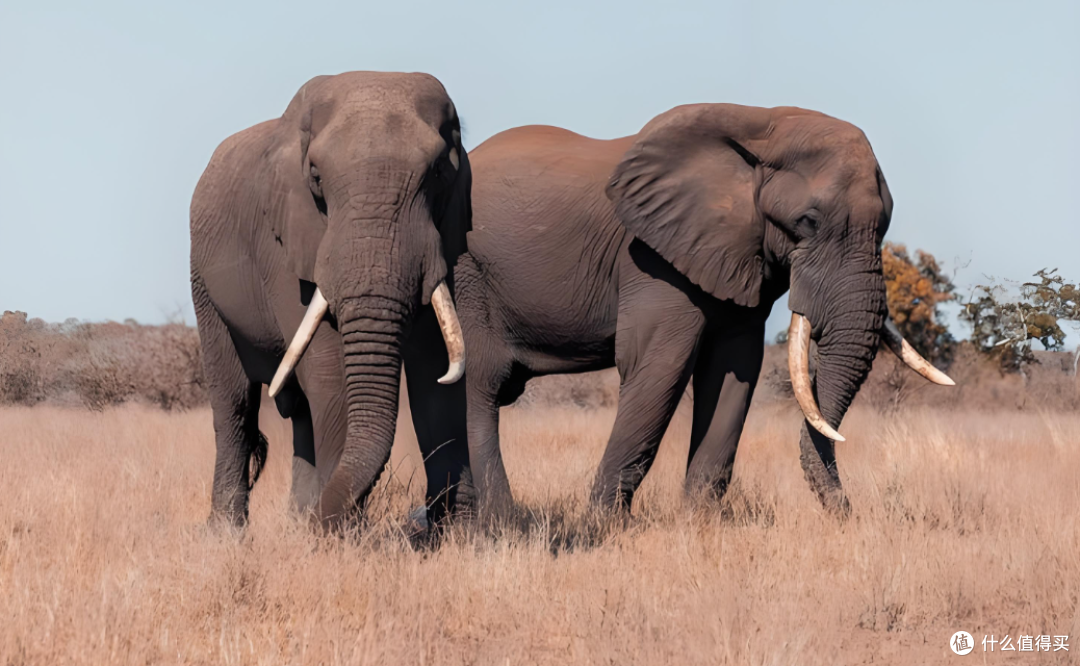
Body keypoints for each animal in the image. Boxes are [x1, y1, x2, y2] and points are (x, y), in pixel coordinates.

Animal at [190, 71, 473, 530]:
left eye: (436, 174)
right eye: (316, 177)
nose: (325, 521)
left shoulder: (445, 239)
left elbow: (435, 370)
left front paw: (462, 532)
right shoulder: (284, 241)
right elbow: (327, 368)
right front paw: (340, 536)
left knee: (302, 412)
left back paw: (297, 518)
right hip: (203, 282)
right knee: (234, 405)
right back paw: (228, 534)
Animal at [455, 104, 952, 515]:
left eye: (884, 225)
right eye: (807, 222)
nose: (848, 513)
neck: (762, 128)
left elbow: (734, 371)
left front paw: (700, 522)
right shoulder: (653, 258)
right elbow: (660, 366)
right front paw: (605, 525)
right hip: (468, 274)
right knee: (482, 382)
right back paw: (499, 522)